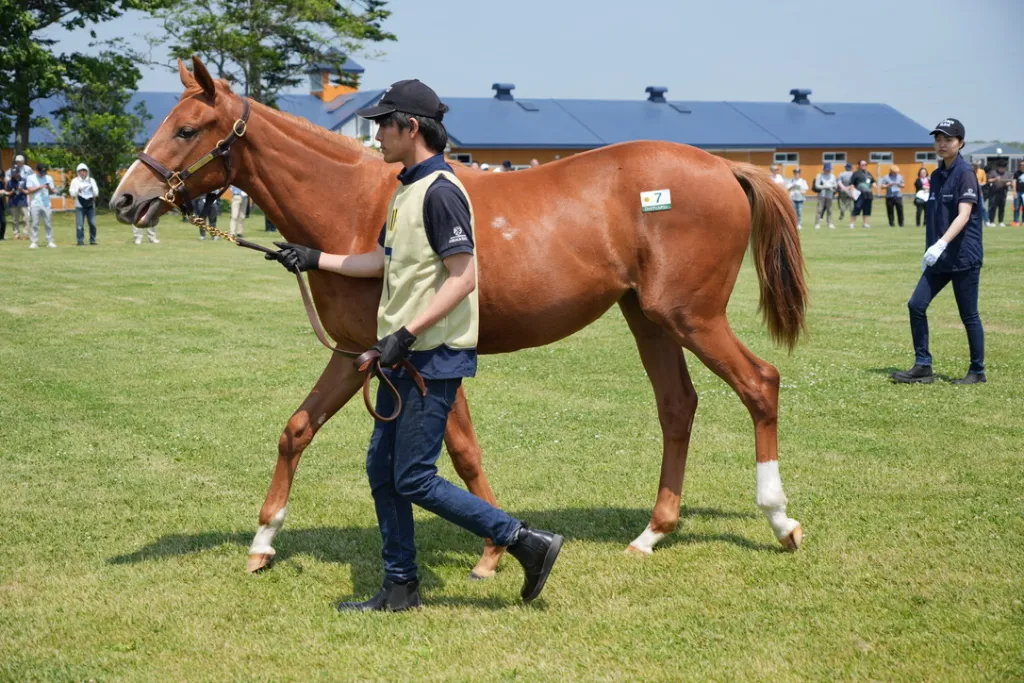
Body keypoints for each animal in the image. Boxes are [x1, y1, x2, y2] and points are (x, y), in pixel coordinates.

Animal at [111, 57, 808, 577]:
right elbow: (297, 429)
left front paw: (500, 549)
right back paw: (652, 532)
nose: (124, 199)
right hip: (649, 319)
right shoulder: (358, 354)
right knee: (677, 407)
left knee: (760, 385)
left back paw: (781, 520)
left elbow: (463, 452)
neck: (357, 206)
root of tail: (724, 165)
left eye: (186, 129)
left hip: (690, 317)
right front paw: (263, 541)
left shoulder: (418, 355)